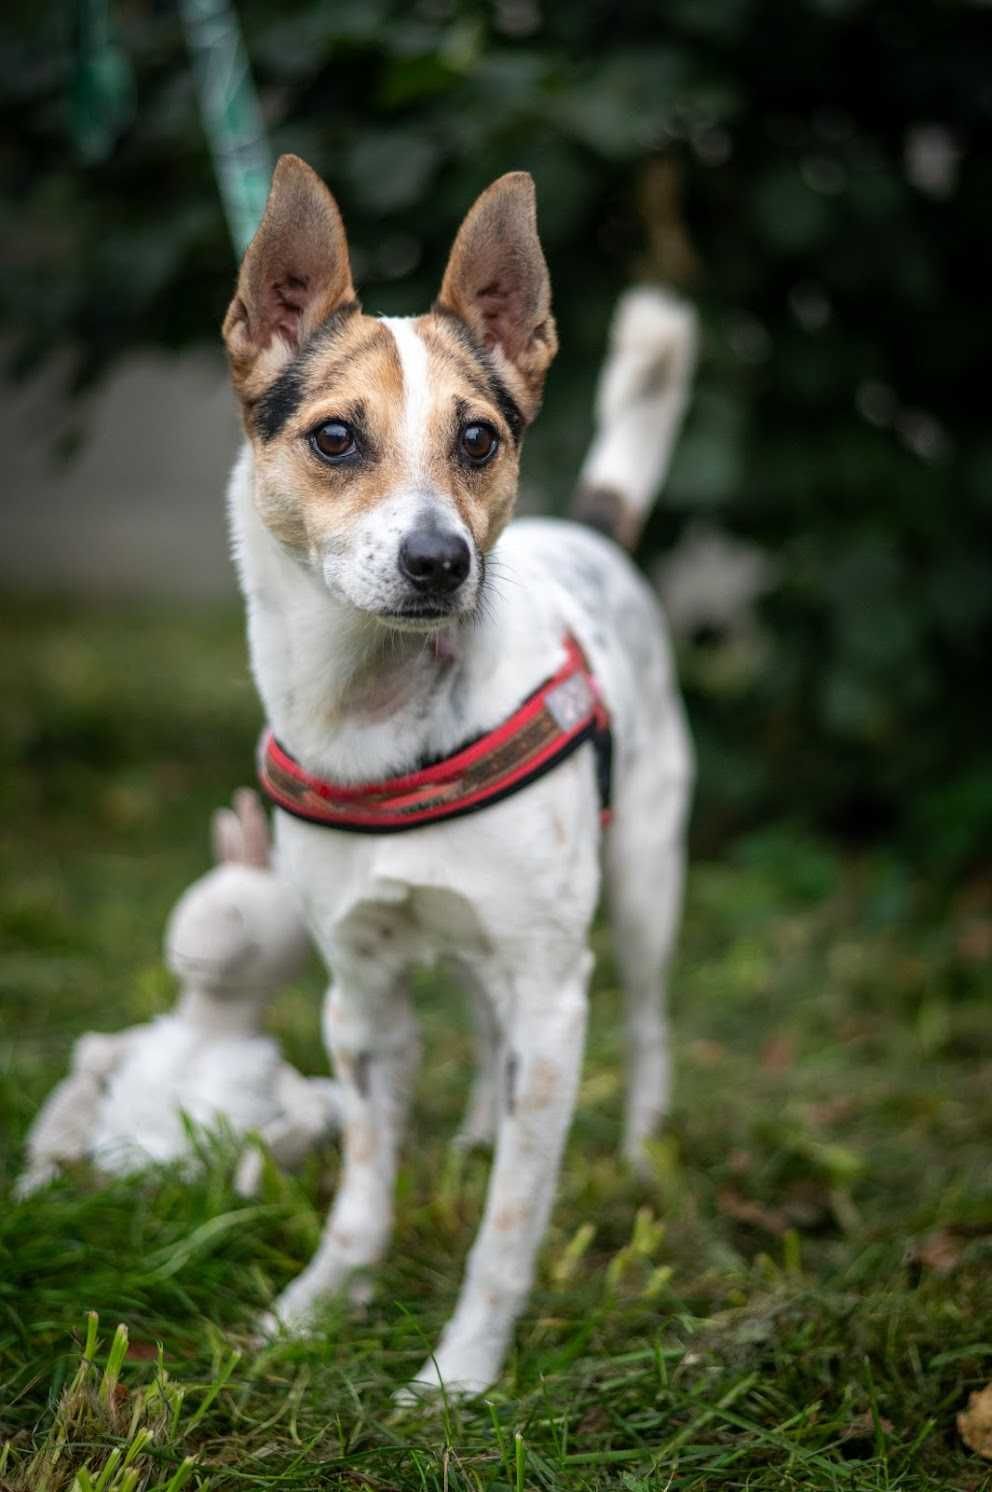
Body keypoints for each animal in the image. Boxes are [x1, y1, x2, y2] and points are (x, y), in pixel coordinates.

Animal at [220, 157, 692, 1390]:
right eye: (337, 437)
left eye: (478, 440)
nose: (442, 561)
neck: (381, 721)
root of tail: (596, 531)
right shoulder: (359, 996)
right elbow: (362, 1190)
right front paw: (312, 1309)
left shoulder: (557, 997)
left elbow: (511, 1225)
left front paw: (461, 1374)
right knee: (485, 1025)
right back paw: (480, 1127)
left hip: (641, 889)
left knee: (649, 1022)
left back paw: (642, 1149)